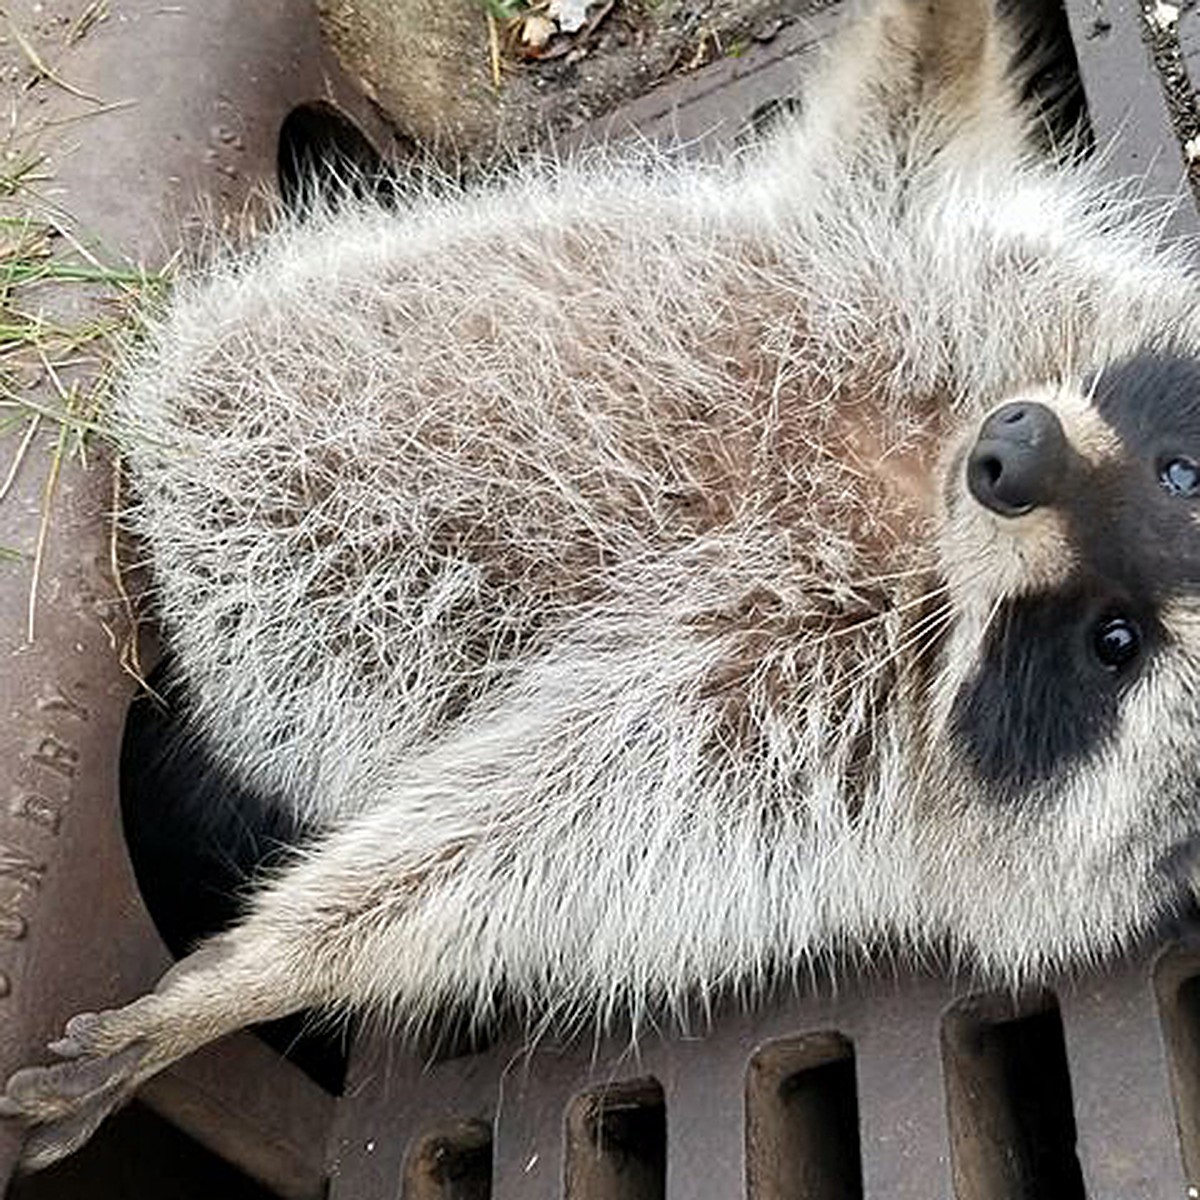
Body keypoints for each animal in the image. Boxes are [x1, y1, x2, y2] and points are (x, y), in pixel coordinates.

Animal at [2, 0, 1200, 1171]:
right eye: (1184, 470)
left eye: (1115, 642)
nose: (1017, 455)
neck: (919, 508)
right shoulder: (909, 259)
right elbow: (896, 133)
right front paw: (941, 23)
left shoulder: (785, 742)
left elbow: (505, 843)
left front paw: (252, 971)